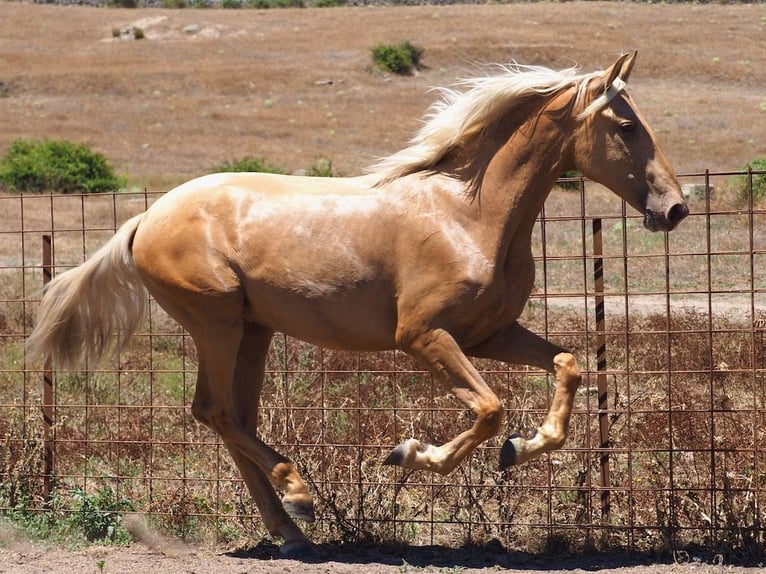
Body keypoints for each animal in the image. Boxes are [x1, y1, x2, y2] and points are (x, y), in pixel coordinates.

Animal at [28, 51, 688, 556]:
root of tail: (145, 218)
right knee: (215, 411)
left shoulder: (489, 334)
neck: (467, 214)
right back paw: (299, 494)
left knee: (233, 416)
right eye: (626, 127)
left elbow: (569, 365)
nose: (676, 208)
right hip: (215, 322)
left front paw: (521, 449)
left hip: (253, 331)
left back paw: (291, 530)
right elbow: (488, 410)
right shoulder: (423, 337)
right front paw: (409, 453)